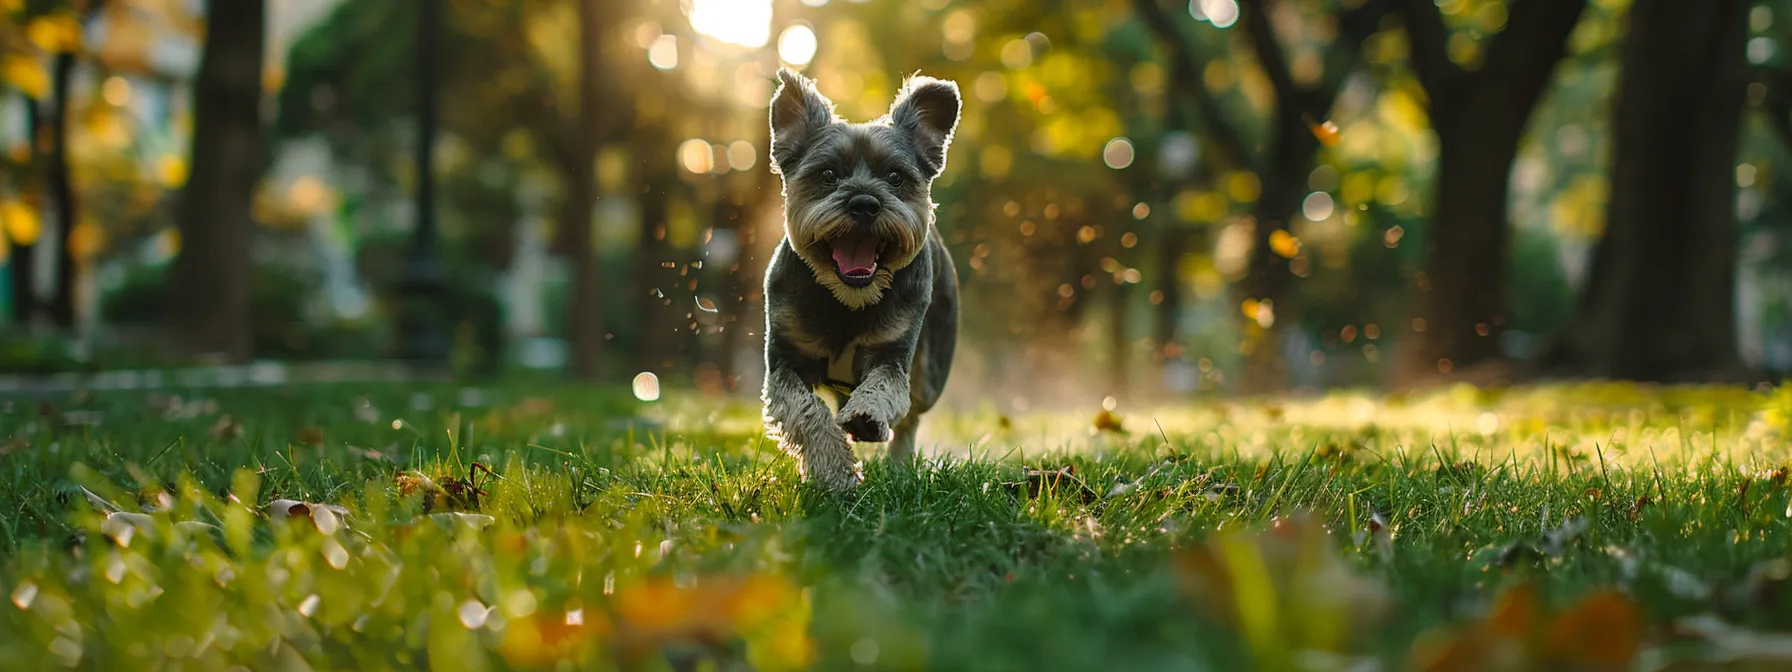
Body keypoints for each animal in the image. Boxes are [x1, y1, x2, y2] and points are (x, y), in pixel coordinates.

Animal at [759, 69, 960, 491]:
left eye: (896, 177)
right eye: (828, 174)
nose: (865, 203)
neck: (846, 302)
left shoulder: (893, 353)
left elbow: (885, 387)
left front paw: (866, 416)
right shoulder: (784, 363)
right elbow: (807, 410)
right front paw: (835, 470)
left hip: (931, 370)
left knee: (911, 419)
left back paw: (899, 466)